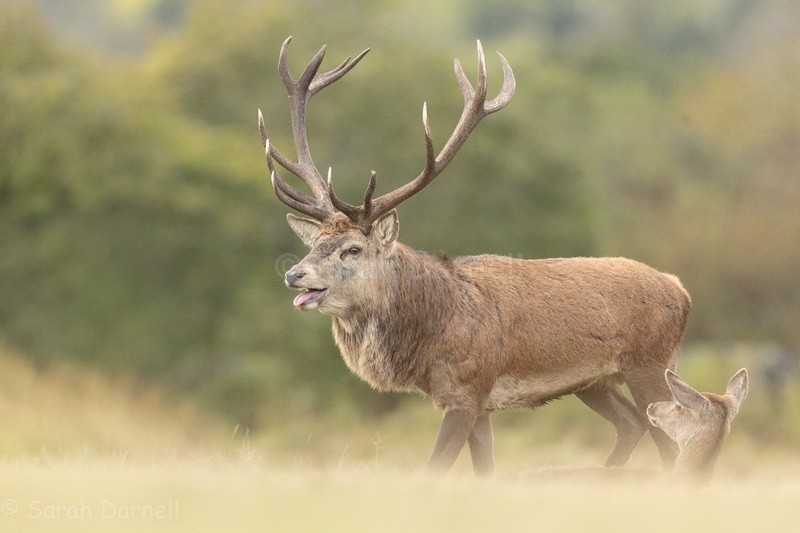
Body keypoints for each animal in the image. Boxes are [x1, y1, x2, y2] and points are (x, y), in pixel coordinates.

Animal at [257, 36, 692, 476]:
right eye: (314, 244)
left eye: (353, 249)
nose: (294, 274)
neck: (431, 334)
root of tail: (681, 290)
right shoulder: (478, 405)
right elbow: (484, 471)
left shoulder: (467, 389)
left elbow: (436, 466)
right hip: (595, 382)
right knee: (631, 423)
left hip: (650, 364)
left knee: (668, 443)